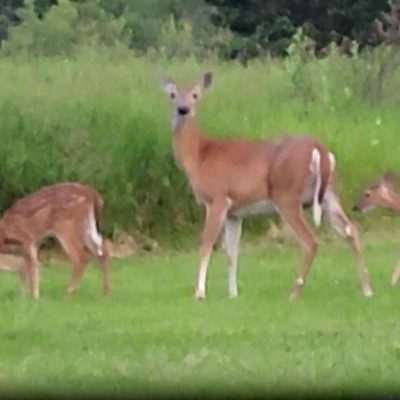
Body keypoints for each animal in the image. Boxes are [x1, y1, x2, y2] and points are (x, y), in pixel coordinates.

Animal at [161, 71, 374, 300]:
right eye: (172, 94)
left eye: (195, 94)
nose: (183, 109)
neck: (199, 156)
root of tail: (320, 149)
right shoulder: (235, 212)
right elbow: (231, 252)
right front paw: (233, 294)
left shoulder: (217, 198)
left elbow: (206, 244)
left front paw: (200, 293)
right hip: (328, 194)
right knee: (350, 230)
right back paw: (367, 289)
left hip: (286, 194)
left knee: (310, 241)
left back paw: (293, 293)